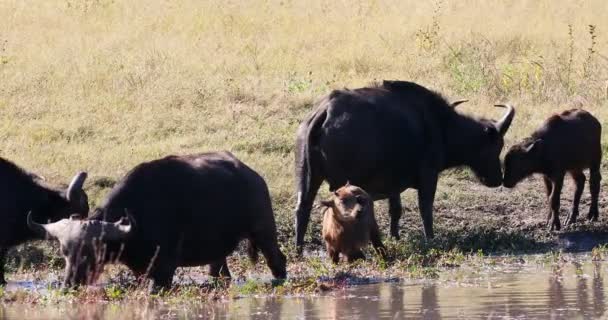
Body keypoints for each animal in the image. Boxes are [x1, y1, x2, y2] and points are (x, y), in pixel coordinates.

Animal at [26, 152, 288, 290]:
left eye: (93, 250)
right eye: (65, 251)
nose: (70, 283)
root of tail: (253, 176)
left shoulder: (164, 271)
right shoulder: (141, 272)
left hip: (264, 230)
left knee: (277, 259)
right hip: (218, 251)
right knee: (220, 271)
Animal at [294, 79, 512, 250]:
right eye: (495, 146)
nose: (498, 179)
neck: (441, 126)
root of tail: (325, 112)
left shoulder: (393, 183)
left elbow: (396, 210)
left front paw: (395, 237)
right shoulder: (428, 176)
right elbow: (425, 209)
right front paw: (430, 238)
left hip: (307, 177)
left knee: (302, 208)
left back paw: (299, 249)